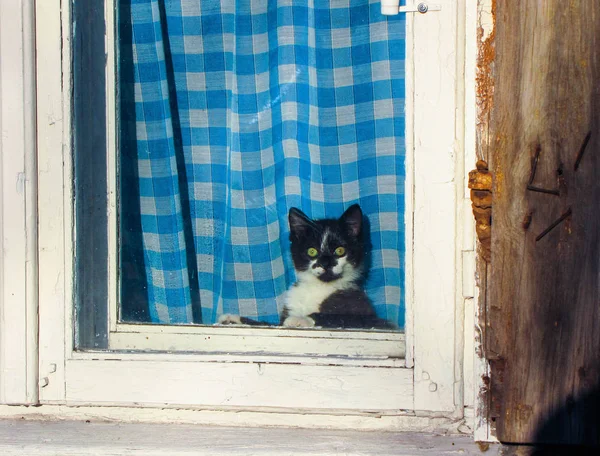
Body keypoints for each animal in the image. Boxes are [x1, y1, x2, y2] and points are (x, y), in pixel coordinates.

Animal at [218, 205, 396, 330]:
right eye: (312, 251)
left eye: (340, 250)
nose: (325, 263)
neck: (319, 286)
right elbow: (273, 324)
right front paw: (234, 319)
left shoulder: (372, 317)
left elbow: (339, 317)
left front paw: (301, 318)